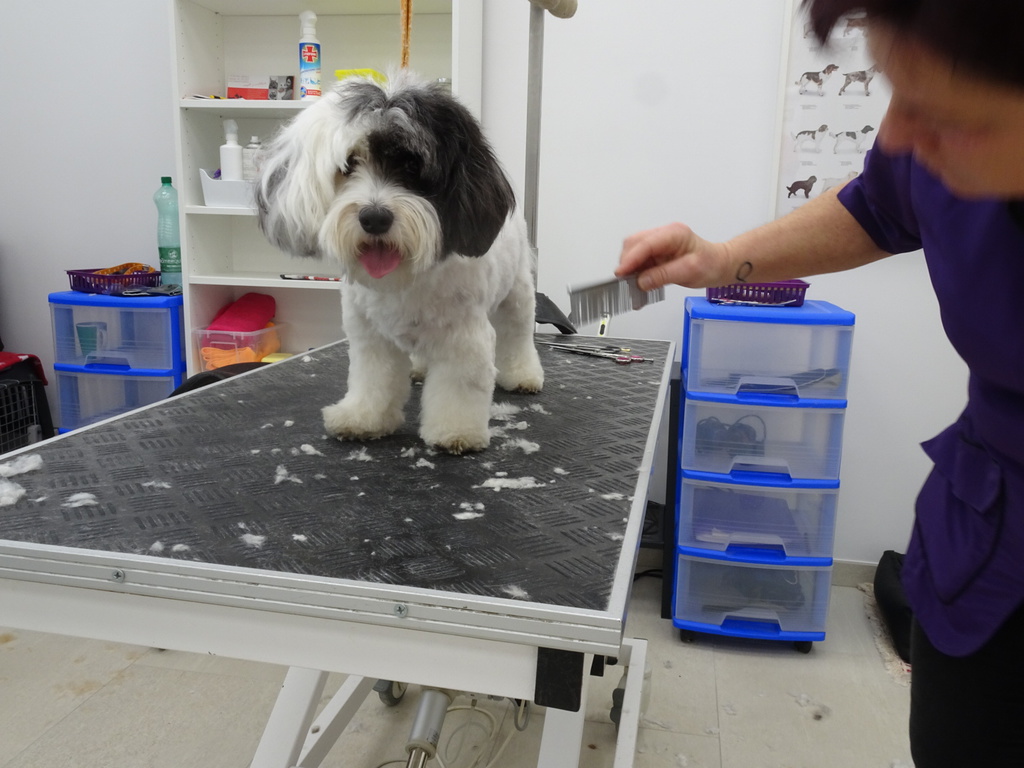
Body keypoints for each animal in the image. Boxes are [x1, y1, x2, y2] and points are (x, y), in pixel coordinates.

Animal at [255, 71, 544, 455]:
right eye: (349, 164)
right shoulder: (371, 337)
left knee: (518, 334)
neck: (403, 277)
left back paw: (524, 374)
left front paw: (456, 432)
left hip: (518, 294)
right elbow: (373, 380)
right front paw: (363, 418)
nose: (374, 218)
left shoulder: (464, 336)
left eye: (411, 164)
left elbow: (459, 386)